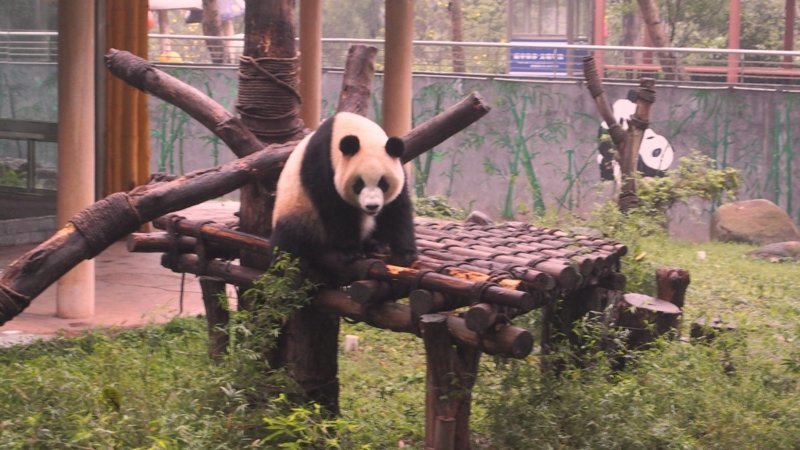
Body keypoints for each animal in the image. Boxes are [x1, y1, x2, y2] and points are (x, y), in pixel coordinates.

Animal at [270, 112, 418, 274]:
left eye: (383, 184)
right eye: (359, 184)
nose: (372, 206)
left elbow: (397, 208)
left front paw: (405, 254)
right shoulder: (322, 164)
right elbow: (335, 209)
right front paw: (350, 251)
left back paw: (375, 245)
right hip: (298, 212)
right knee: (288, 238)